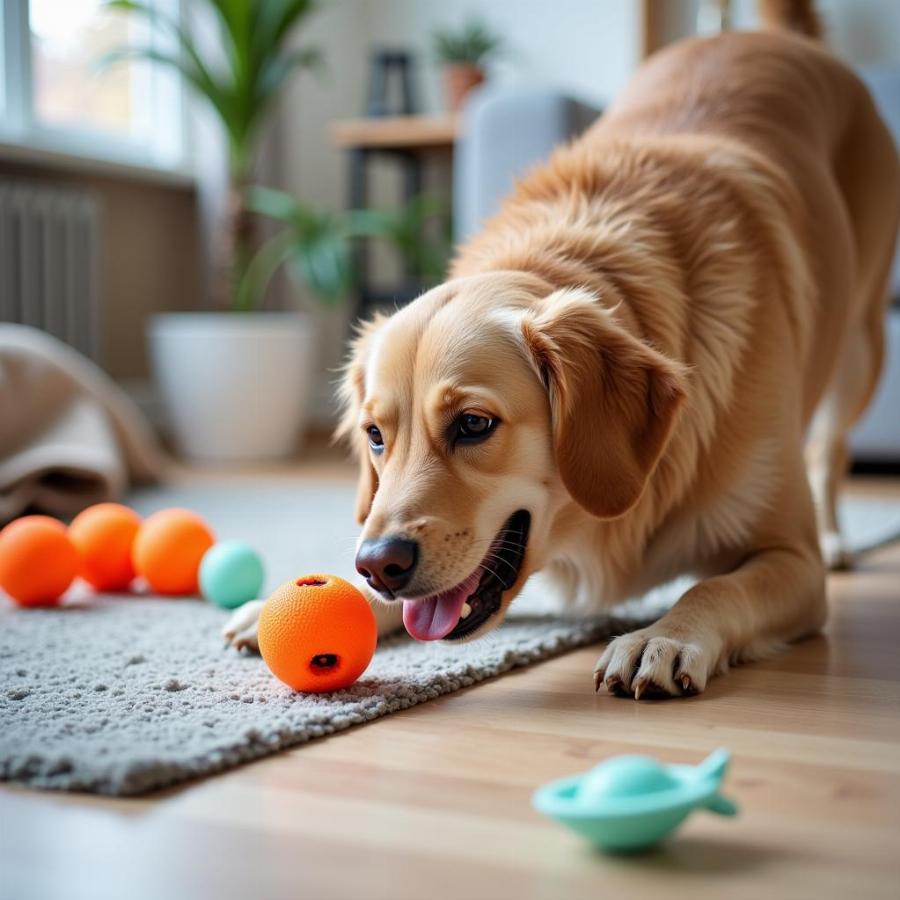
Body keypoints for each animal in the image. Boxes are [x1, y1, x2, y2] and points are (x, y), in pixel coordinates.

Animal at [227, 1, 900, 696]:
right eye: (375, 437)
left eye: (474, 424)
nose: (376, 565)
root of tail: (765, 38)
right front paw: (312, 597)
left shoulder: (792, 559)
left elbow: (716, 587)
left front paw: (663, 635)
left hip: (862, 347)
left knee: (831, 446)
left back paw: (838, 535)